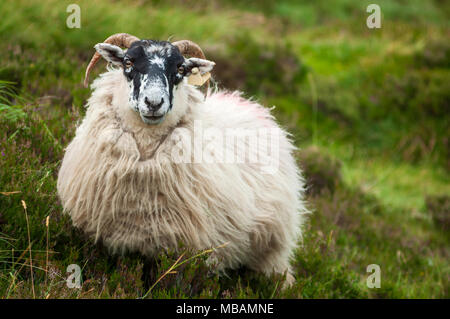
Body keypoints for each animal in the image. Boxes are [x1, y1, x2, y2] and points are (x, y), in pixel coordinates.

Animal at [56, 33, 308, 288]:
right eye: (128, 62)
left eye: (180, 68)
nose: (154, 103)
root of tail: (251, 106)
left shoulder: (185, 254)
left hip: (271, 248)